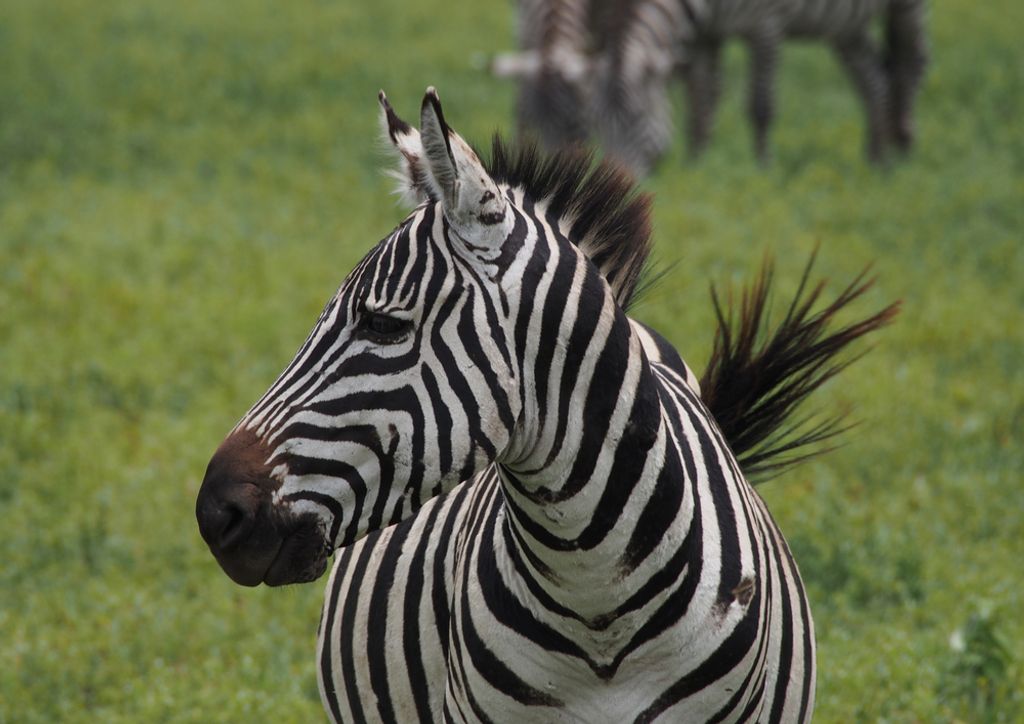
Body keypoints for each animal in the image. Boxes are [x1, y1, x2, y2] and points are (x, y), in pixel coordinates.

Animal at [592, 0, 929, 173]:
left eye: (637, 119)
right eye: (598, 127)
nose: (617, 178)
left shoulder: (766, 24)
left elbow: (760, 106)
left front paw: (762, 169)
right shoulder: (707, 35)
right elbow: (701, 103)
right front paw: (696, 165)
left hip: (905, 8)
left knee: (911, 65)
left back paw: (904, 148)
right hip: (846, 26)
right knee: (875, 80)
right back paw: (876, 159)